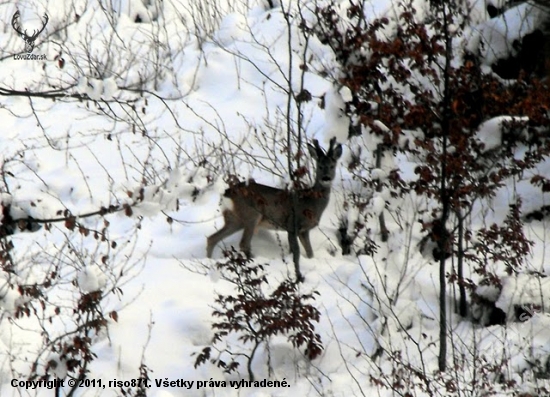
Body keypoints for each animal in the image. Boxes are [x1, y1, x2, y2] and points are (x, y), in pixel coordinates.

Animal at [207, 138, 342, 280]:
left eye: (332, 166)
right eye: (320, 166)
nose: (326, 178)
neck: (310, 201)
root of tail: (226, 193)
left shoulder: (304, 230)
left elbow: (310, 253)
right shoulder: (292, 224)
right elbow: (296, 252)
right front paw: (298, 273)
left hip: (234, 219)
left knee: (212, 238)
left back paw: (209, 261)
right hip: (252, 215)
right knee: (243, 243)